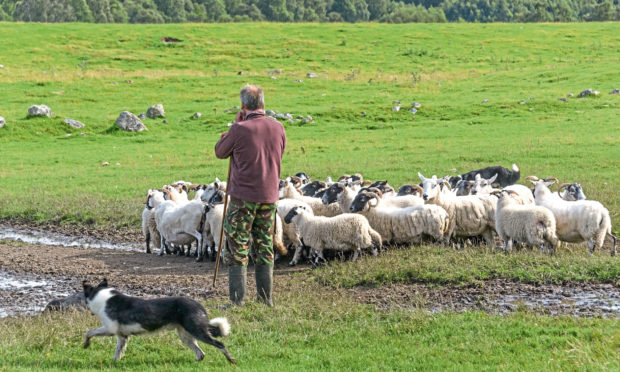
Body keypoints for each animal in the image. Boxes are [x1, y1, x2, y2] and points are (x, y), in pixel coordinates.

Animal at [81, 280, 235, 364]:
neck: (102, 296)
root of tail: (198, 304)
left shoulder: (109, 329)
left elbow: (89, 332)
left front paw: (86, 345)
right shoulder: (122, 337)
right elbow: (117, 353)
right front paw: (113, 364)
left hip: (197, 331)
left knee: (220, 344)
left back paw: (231, 360)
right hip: (185, 336)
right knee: (200, 354)